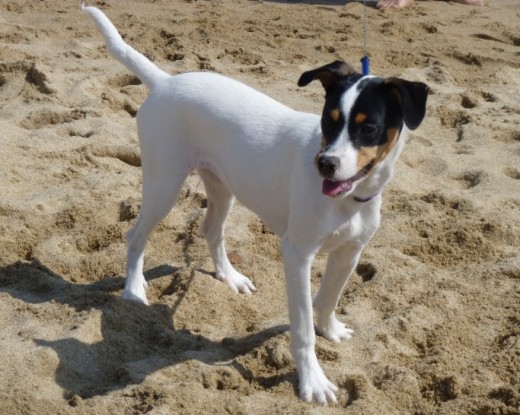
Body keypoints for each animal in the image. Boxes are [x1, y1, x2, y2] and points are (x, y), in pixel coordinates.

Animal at [83, 3, 428, 406]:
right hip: (163, 184)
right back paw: (134, 289)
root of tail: (166, 82)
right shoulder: (297, 253)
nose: (325, 164)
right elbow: (303, 328)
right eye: (328, 120)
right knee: (136, 235)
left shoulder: (350, 251)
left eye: (369, 128)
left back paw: (229, 277)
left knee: (210, 229)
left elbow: (329, 298)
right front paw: (312, 380)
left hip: (222, 186)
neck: (350, 199)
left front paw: (330, 330)